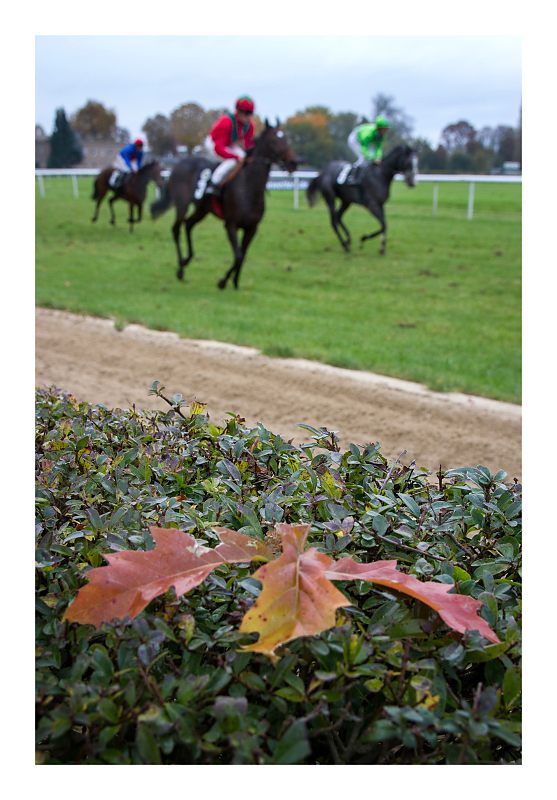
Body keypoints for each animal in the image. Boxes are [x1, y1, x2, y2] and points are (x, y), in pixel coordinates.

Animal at [150, 120, 298, 290]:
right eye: (274, 141)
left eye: (286, 139)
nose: (294, 162)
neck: (248, 188)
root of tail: (179, 165)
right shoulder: (230, 225)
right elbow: (238, 255)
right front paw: (223, 281)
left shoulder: (252, 228)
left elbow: (243, 255)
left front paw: (235, 282)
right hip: (182, 205)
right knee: (176, 229)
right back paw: (181, 268)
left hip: (202, 209)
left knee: (188, 225)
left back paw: (187, 260)